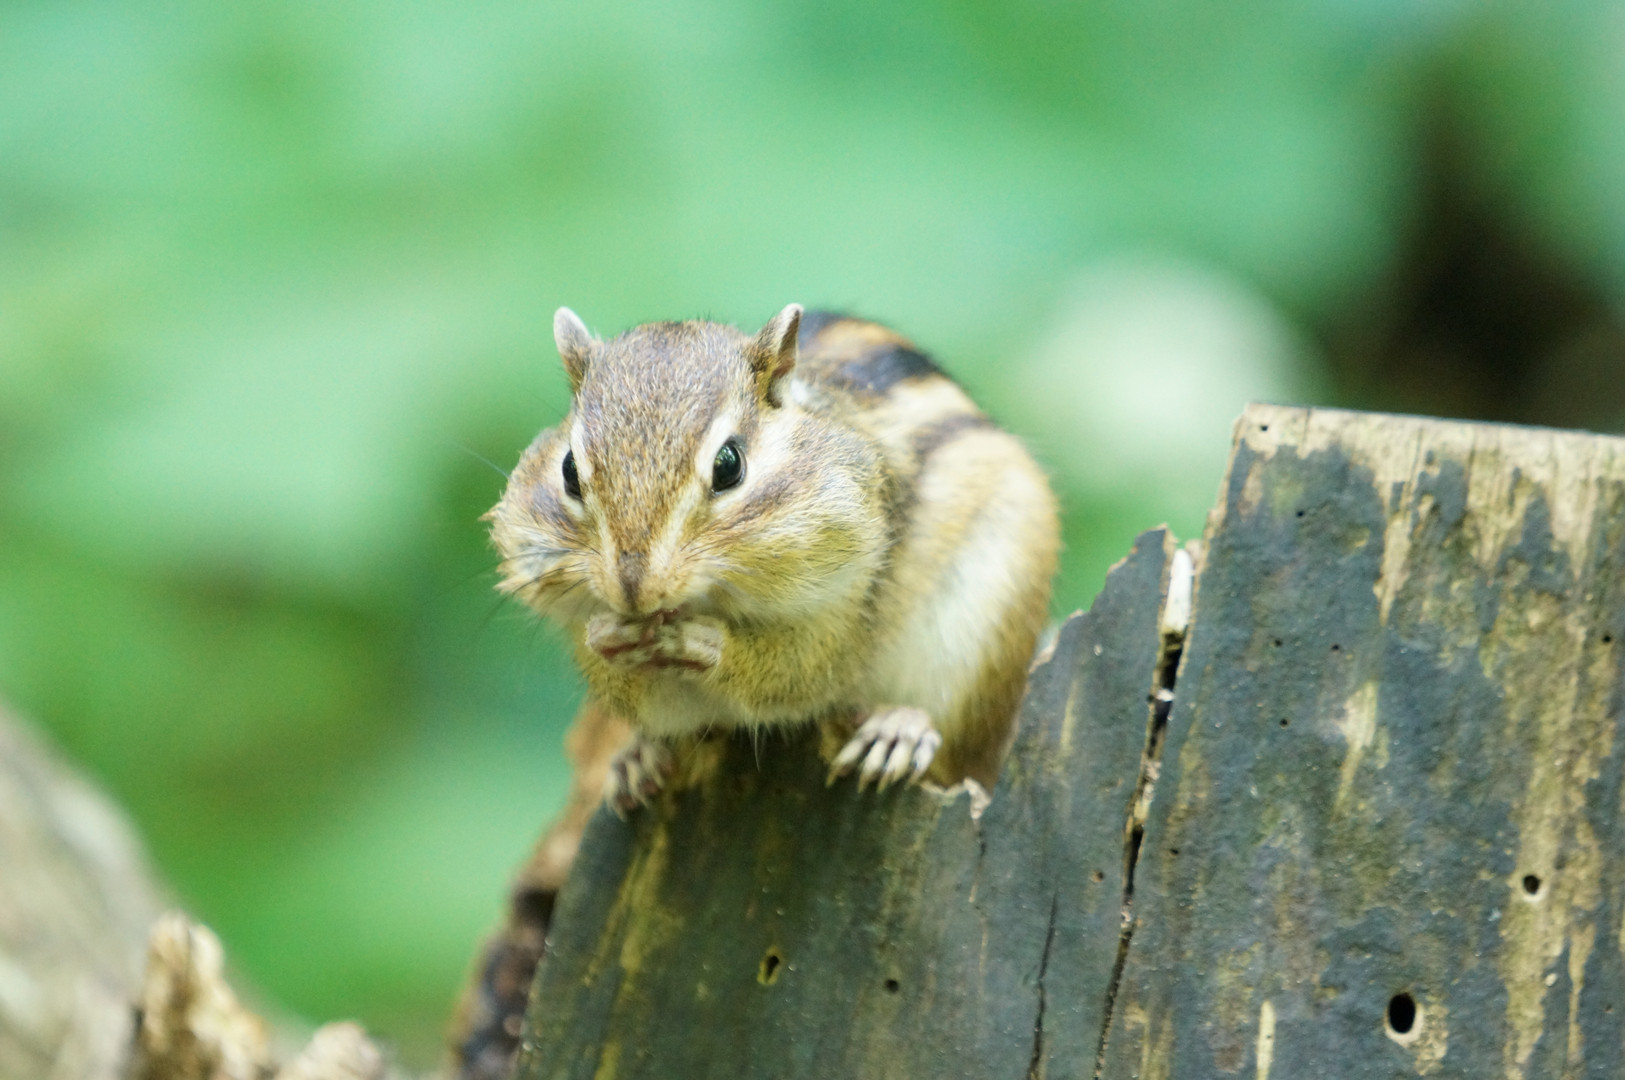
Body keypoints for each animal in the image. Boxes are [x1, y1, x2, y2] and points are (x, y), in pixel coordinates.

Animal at [486, 304, 1060, 808]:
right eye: (568, 471)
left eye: (729, 465)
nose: (633, 589)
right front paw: (610, 639)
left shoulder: (849, 606)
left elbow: (799, 671)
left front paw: (705, 643)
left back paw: (900, 729)